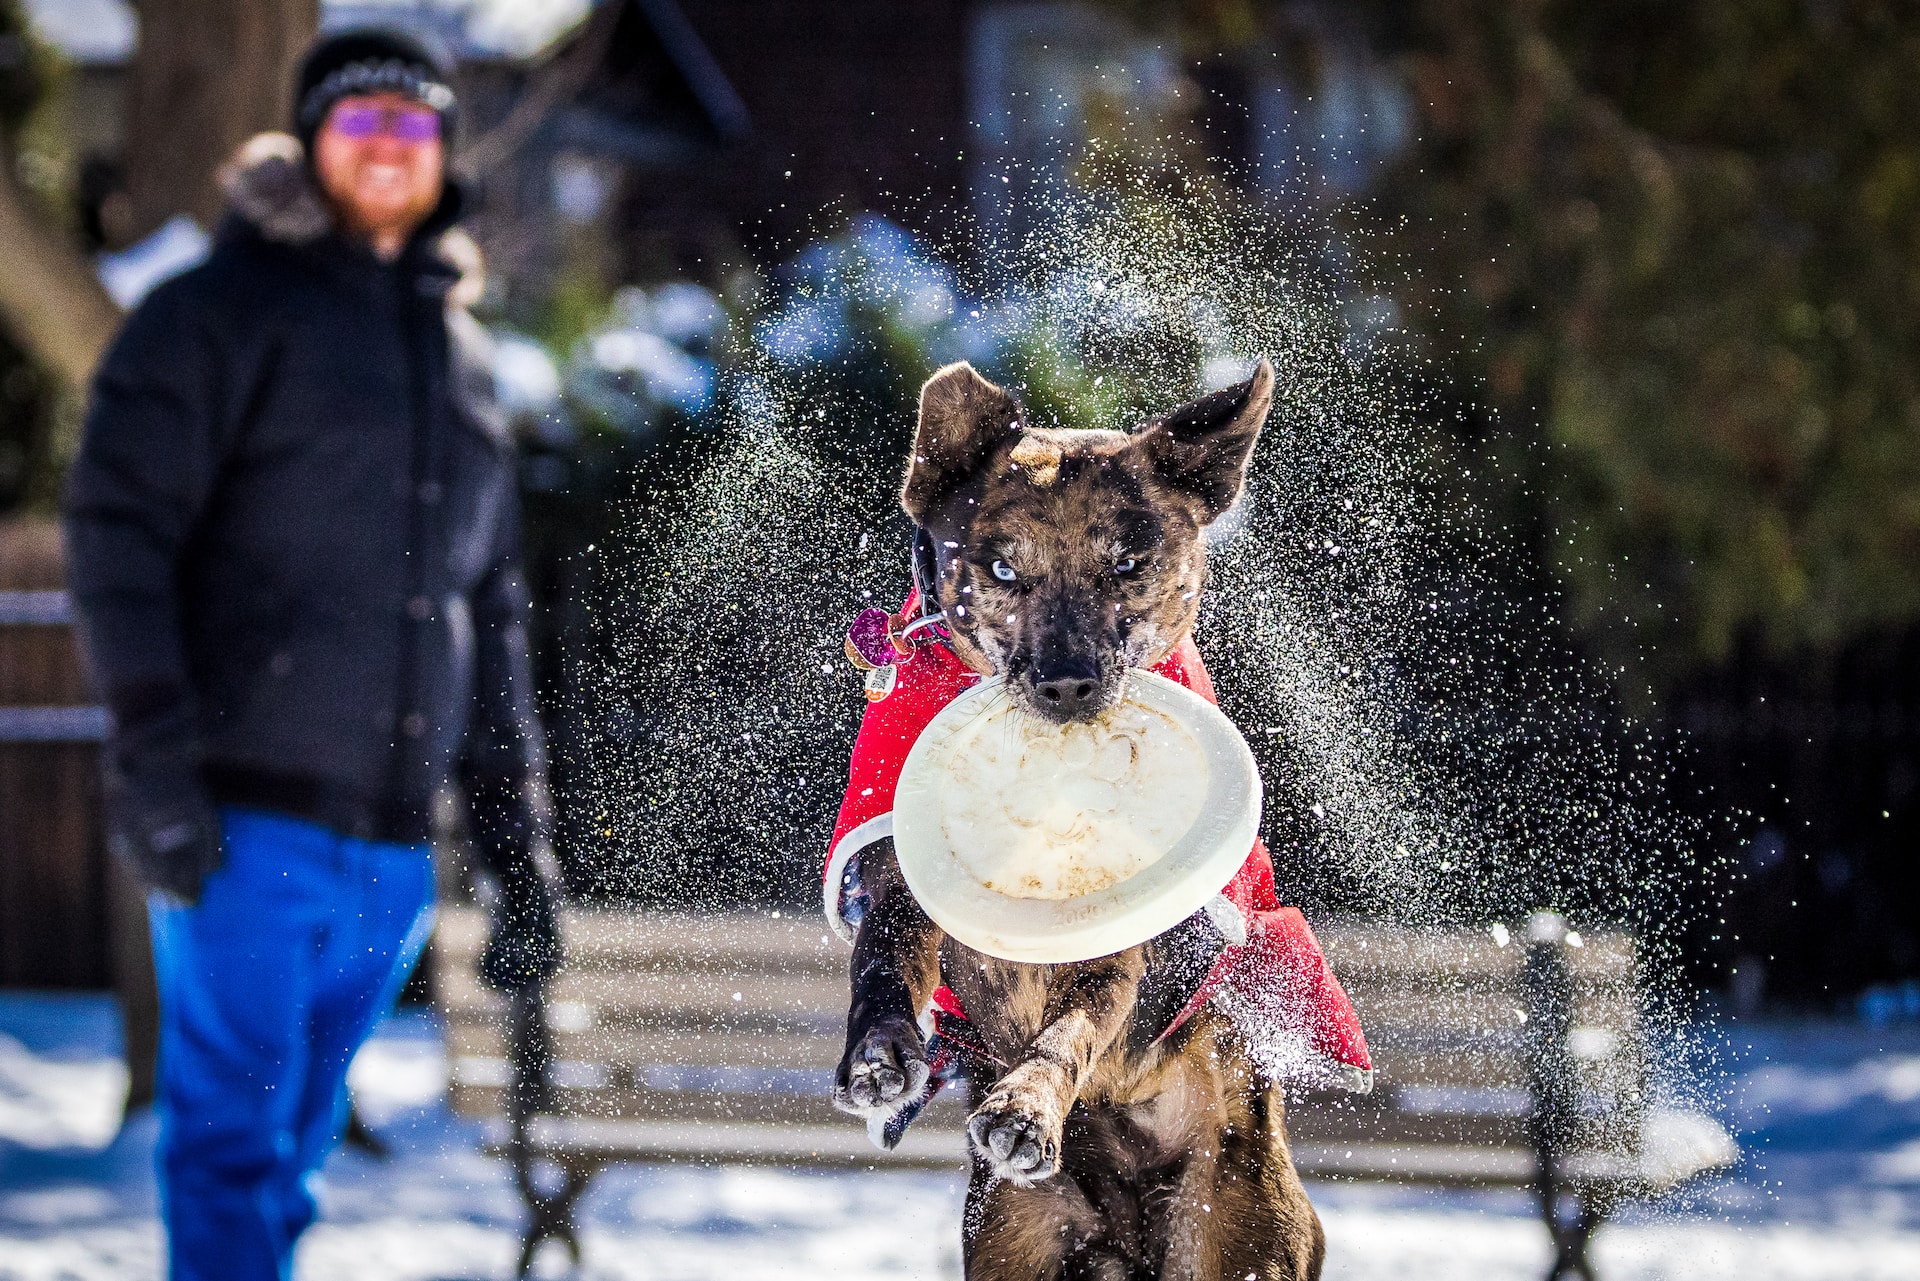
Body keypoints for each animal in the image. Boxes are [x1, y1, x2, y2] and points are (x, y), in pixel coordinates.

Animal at [833, 361, 1328, 1281]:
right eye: (1000, 567)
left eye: (1129, 563)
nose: (1067, 683)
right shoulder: (895, 880)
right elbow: (882, 960)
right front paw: (881, 1052)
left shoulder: (1117, 953)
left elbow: (1073, 1027)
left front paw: (1024, 1108)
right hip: (1015, 1234)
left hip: (1236, 1230)